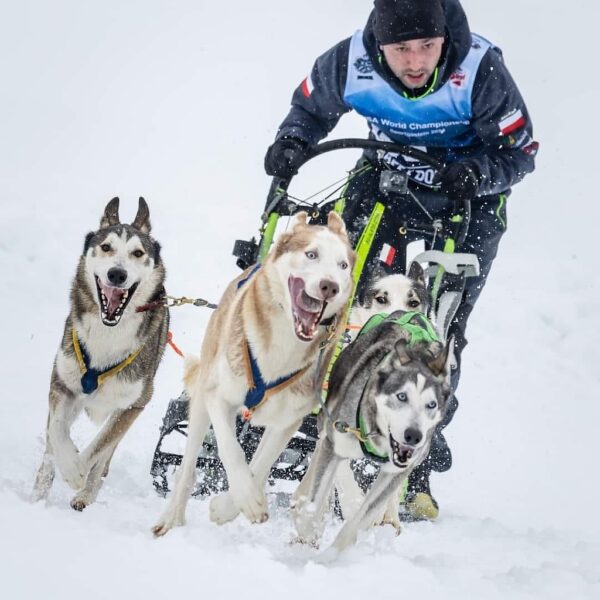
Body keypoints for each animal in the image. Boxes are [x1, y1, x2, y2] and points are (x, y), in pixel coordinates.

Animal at [32, 197, 169, 510]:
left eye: (138, 253)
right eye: (106, 247)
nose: (117, 274)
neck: (108, 335)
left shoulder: (134, 404)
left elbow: (101, 445)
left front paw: (77, 473)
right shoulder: (62, 384)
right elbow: (57, 431)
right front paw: (67, 465)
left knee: (105, 455)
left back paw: (86, 493)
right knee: (53, 442)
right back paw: (38, 494)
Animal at [152, 211, 354, 536]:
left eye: (343, 265)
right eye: (311, 254)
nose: (330, 286)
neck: (282, 349)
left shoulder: (286, 422)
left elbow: (259, 466)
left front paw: (227, 507)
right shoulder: (219, 398)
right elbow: (231, 451)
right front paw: (245, 498)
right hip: (201, 403)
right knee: (188, 467)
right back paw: (171, 517)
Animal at [292, 312, 452, 552]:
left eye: (431, 404)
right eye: (401, 396)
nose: (414, 436)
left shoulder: (397, 471)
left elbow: (361, 519)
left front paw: (334, 553)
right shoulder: (335, 441)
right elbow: (317, 499)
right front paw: (306, 537)